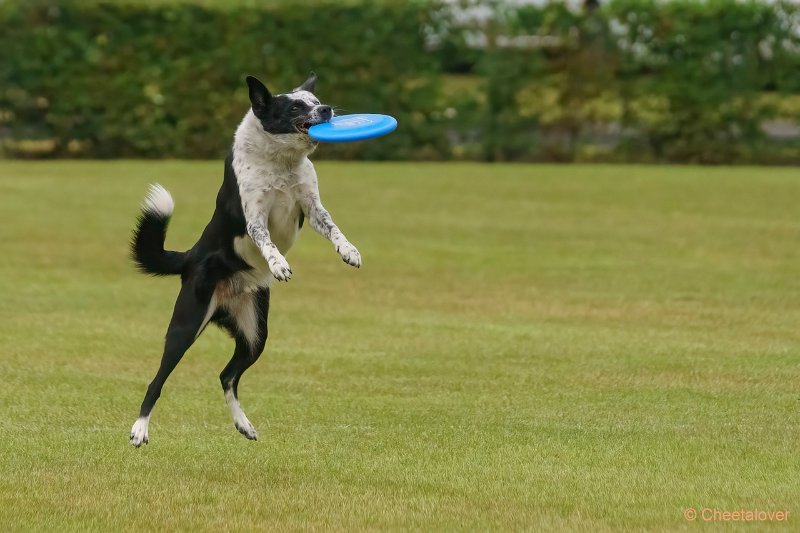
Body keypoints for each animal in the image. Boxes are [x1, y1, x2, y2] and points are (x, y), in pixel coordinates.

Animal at [128, 71, 360, 444]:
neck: (281, 160)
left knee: (227, 375)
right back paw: (139, 429)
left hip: (255, 334)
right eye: (295, 106)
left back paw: (244, 425)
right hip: (185, 326)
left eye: (314, 100)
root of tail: (190, 257)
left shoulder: (312, 208)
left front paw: (349, 251)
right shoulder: (254, 218)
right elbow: (266, 241)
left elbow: (333, 228)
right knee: (157, 381)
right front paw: (279, 265)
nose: (326, 109)